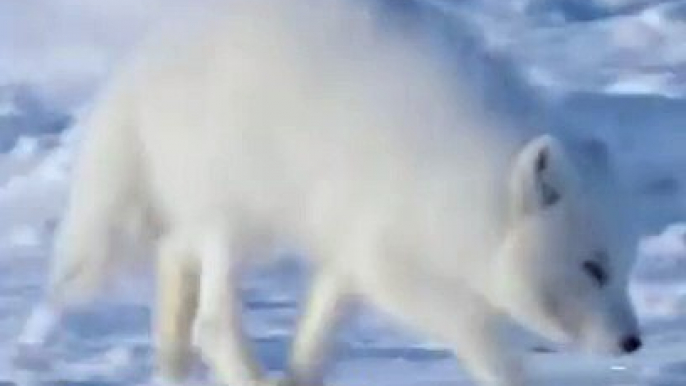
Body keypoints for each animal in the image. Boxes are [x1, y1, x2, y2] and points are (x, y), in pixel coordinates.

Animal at [16, 0, 644, 386]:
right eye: (593, 268)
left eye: (625, 268)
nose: (634, 343)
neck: (467, 187)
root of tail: (146, 62)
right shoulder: (391, 261)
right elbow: (481, 340)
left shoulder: (350, 252)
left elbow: (318, 330)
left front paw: (299, 376)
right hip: (240, 214)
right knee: (212, 320)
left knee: (176, 266)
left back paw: (171, 370)